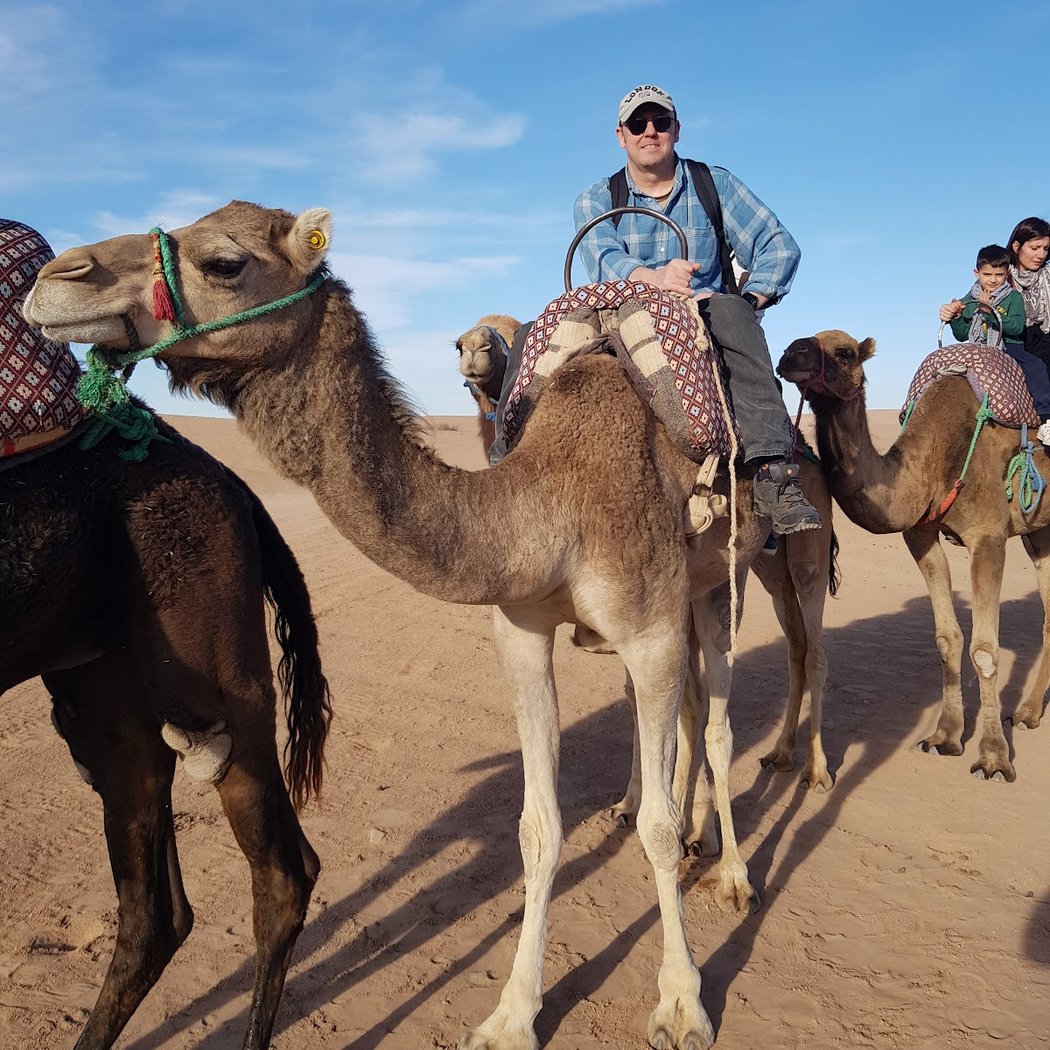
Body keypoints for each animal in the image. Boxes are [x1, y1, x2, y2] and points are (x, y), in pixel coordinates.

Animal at [457, 316, 840, 794]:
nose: (473, 346)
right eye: (460, 342)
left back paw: (817, 771)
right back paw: (776, 759)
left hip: (806, 549)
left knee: (811, 638)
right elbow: (644, 698)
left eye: (506, 337)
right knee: (788, 642)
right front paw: (631, 802)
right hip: (762, 568)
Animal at [777, 329, 1050, 782]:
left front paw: (993, 758)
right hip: (1039, 530)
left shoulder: (988, 537)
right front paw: (945, 737)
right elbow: (947, 637)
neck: (937, 458)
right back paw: (1027, 713)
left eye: (844, 352)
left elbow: (985, 650)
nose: (789, 353)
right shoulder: (920, 535)